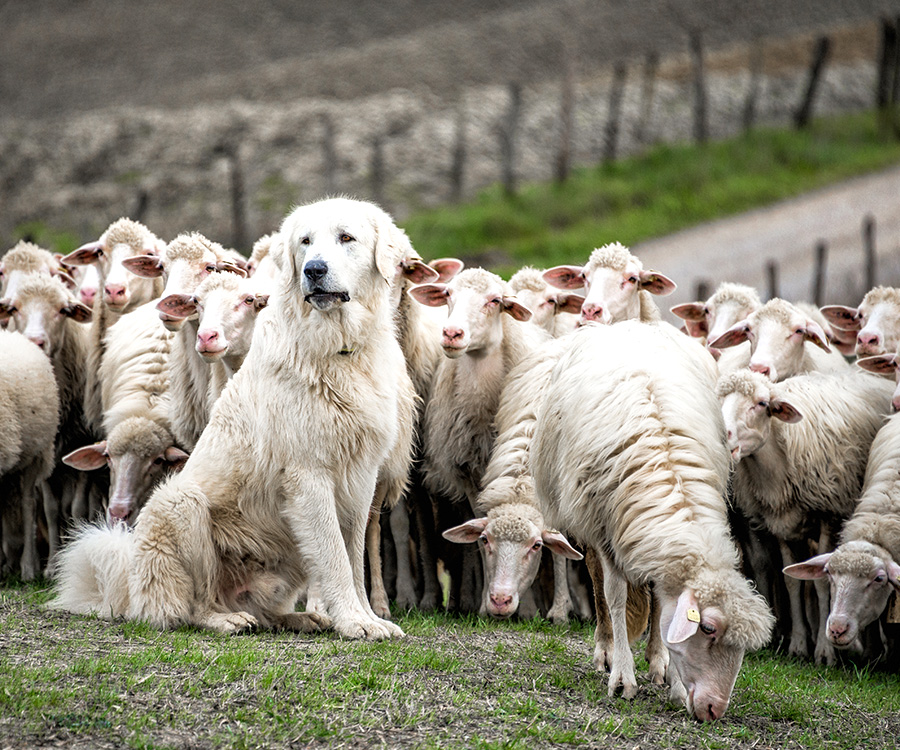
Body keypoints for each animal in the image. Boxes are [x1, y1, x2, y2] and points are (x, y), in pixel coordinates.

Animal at [532, 322, 768, 724]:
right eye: (708, 629)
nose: (714, 710)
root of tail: (631, 323)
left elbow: (662, 607)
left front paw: (671, 680)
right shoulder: (605, 528)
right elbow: (613, 594)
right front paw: (622, 678)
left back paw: (657, 662)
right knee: (597, 583)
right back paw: (606, 649)